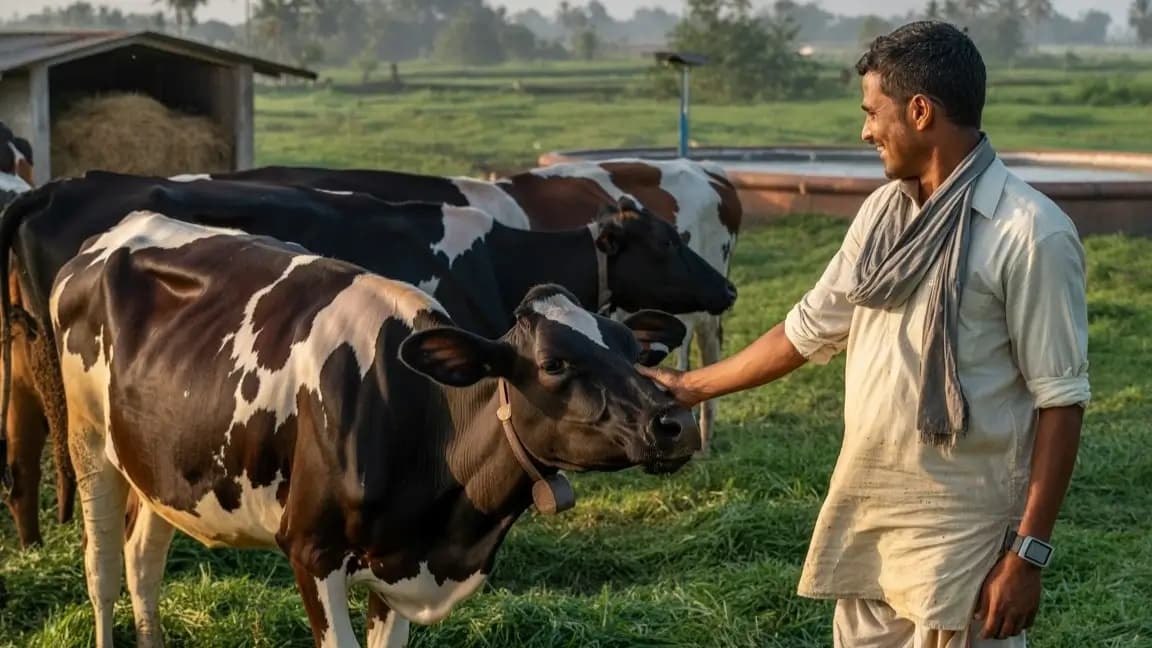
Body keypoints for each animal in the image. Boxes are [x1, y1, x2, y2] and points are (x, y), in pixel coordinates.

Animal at [52, 209, 700, 647]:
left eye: (631, 350)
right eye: (553, 363)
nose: (676, 423)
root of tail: (113, 233)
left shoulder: (397, 570)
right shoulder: (311, 552)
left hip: (159, 468)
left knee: (142, 562)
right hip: (89, 444)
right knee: (101, 569)